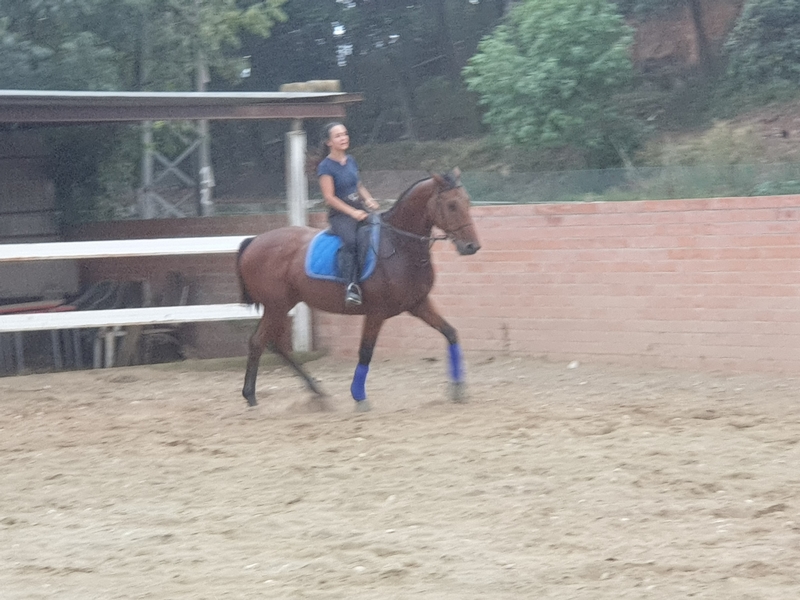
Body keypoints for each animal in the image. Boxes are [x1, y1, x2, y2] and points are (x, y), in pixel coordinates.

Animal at [235, 167, 481, 410]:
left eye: (467, 202)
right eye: (451, 205)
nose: (472, 246)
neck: (399, 245)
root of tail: (254, 240)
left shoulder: (418, 304)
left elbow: (451, 333)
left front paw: (458, 388)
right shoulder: (376, 312)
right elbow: (365, 352)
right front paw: (359, 396)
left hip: (282, 304)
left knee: (271, 343)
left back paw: (315, 392)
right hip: (277, 305)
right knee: (259, 342)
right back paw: (252, 395)